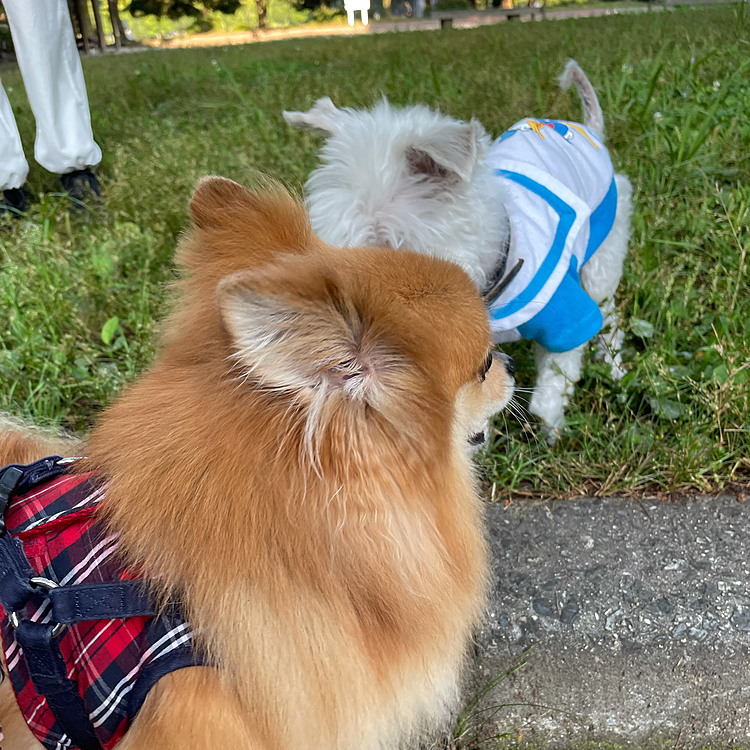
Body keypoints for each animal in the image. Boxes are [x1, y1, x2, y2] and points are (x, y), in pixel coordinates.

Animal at [284, 63, 632, 446]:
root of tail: (587, 128)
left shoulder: (566, 317)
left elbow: (554, 381)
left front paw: (550, 427)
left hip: (603, 253)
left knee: (610, 315)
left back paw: (614, 367)